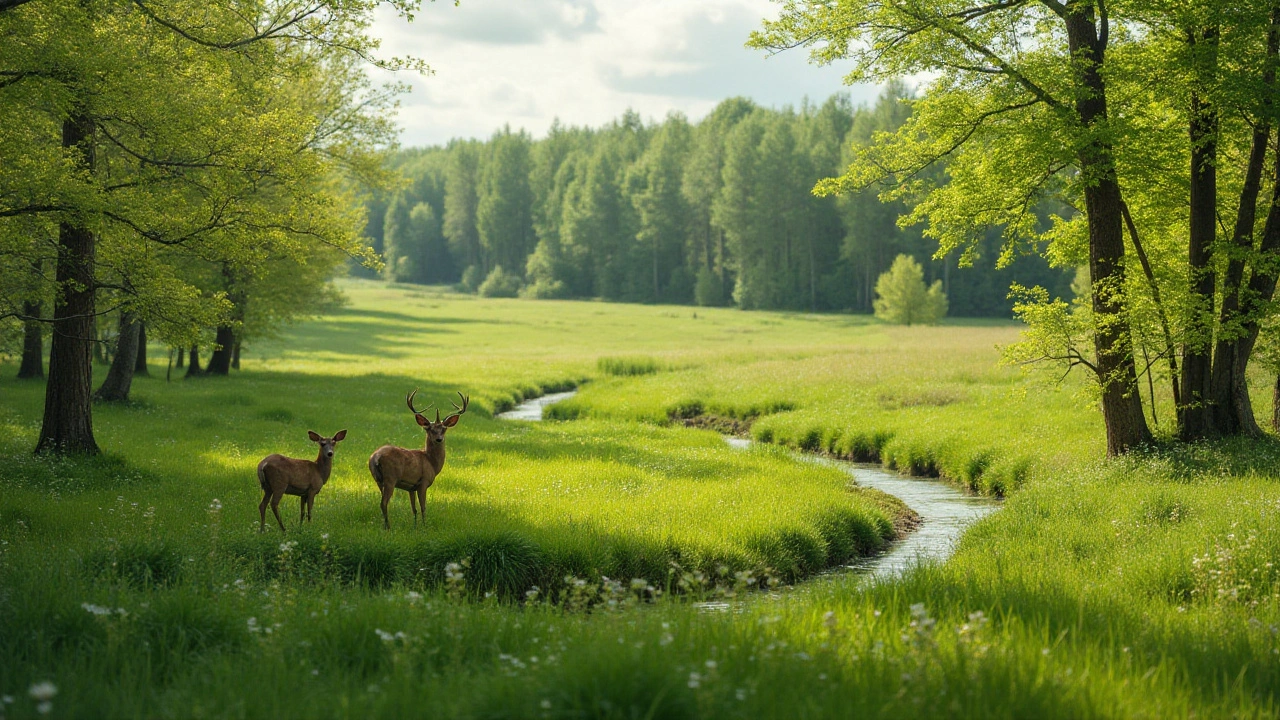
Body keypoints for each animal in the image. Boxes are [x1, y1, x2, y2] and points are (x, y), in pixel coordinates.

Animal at [368, 392, 468, 527]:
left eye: (444, 429)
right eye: (430, 429)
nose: (439, 439)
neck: (431, 462)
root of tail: (376, 457)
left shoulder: (411, 487)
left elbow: (414, 508)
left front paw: (415, 526)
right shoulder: (423, 482)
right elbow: (423, 507)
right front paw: (425, 526)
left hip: (378, 480)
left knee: (382, 502)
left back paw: (384, 525)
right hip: (390, 478)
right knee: (383, 503)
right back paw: (388, 527)